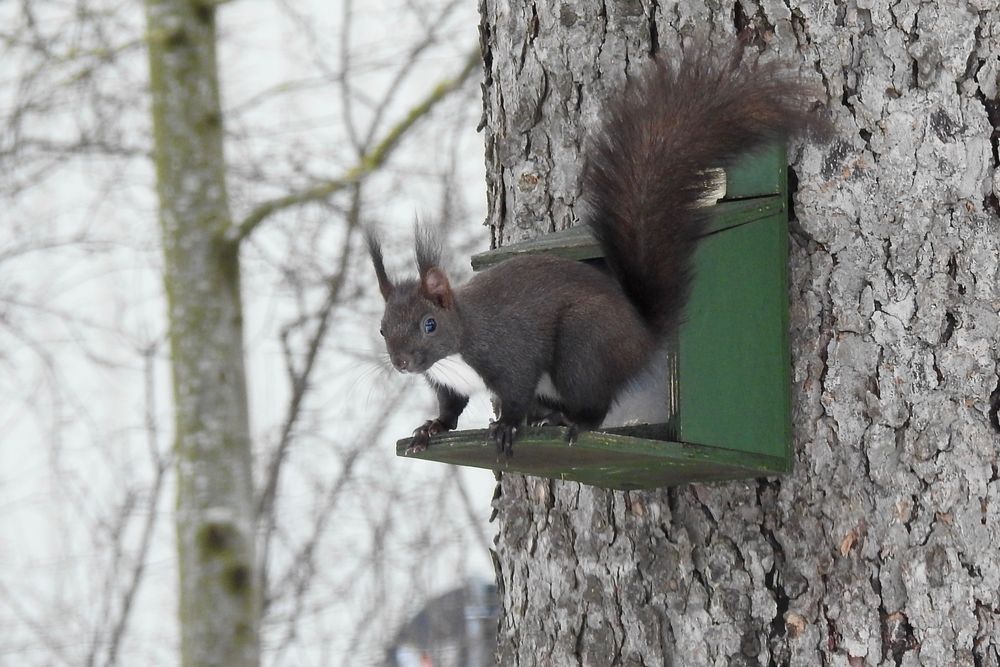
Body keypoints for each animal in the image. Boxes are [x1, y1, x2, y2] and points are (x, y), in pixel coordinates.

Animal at [364, 43, 824, 460]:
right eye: (383, 329)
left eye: (429, 324)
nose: (402, 363)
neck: (458, 347)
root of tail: (642, 336)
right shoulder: (448, 383)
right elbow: (450, 407)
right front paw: (431, 427)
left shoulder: (509, 353)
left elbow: (515, 390)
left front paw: (508, 426)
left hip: (582, 347)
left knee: (595, 406)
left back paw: (569, 421)